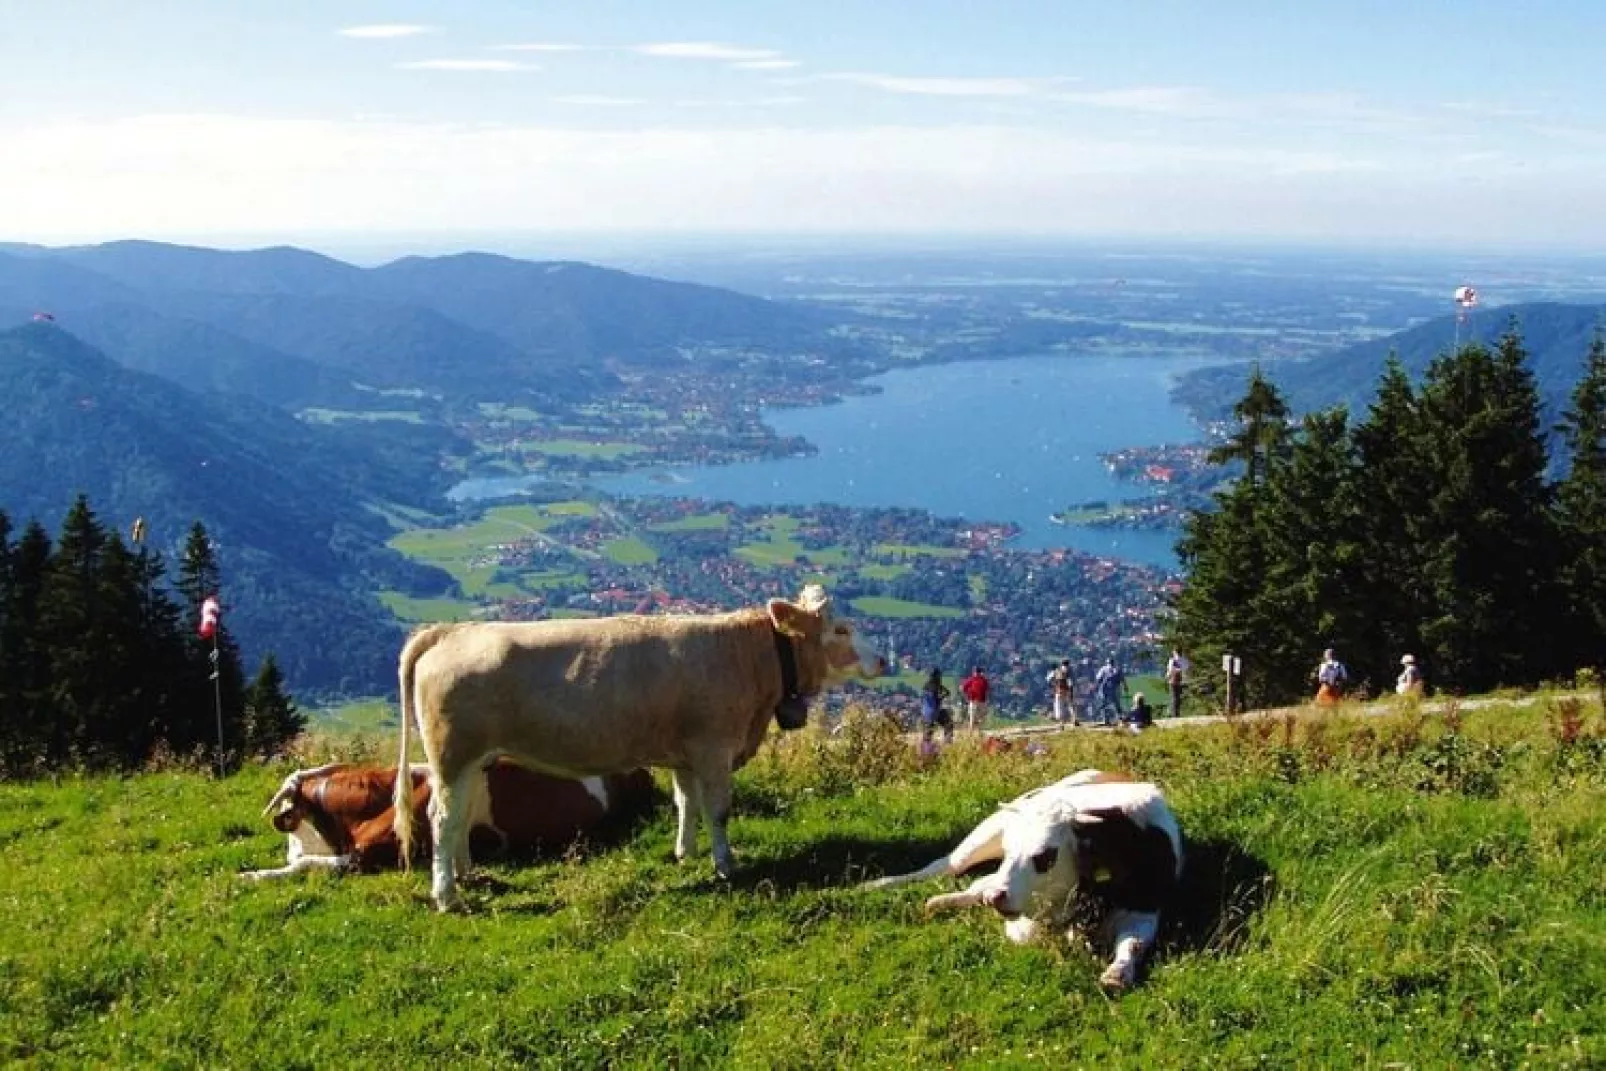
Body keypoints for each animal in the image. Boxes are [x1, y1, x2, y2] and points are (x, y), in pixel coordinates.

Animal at [860, 770, 1188, 989]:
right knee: (946, 868)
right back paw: (879, 885)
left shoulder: (1145, 906)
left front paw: (1116, 974)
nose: (997, 899)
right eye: (1009, 850)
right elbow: (1031, 935)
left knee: (978, 883)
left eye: (1046, 856)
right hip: (985, 833)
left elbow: (1132, 944)